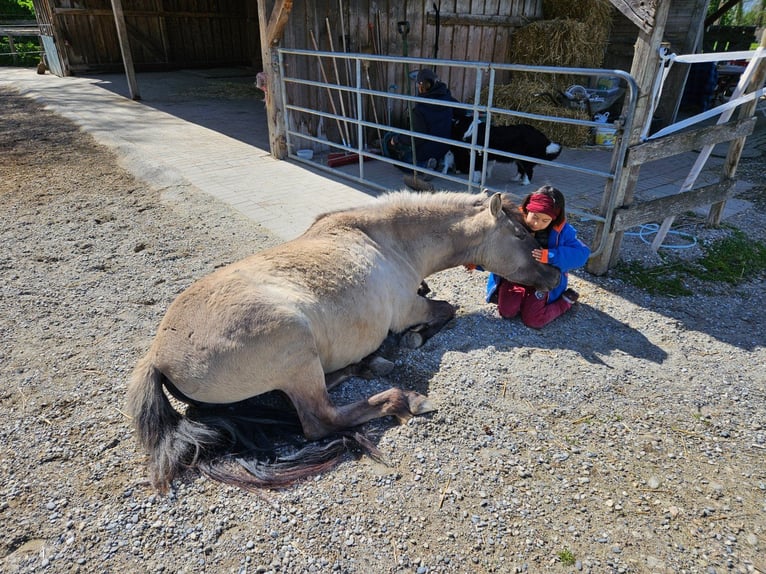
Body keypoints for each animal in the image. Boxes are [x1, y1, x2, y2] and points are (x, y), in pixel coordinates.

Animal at [127, 191, 564, 492]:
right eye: (521, 233)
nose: (555, 276)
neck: (391, 242)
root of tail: (158, 359)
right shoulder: (410, 309)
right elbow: (446, 310)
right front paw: (412, 340)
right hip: (297, 353)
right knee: (321, 419)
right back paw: (404, 397)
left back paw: (368, 364)